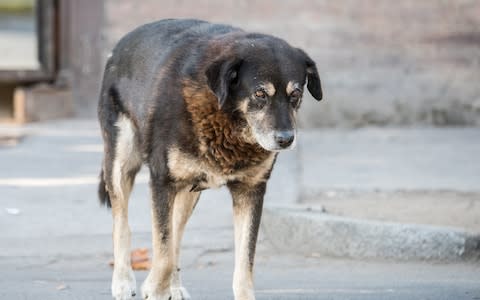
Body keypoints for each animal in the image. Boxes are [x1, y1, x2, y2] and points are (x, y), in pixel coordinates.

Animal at [97, 18, 322, 300]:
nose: (286, 139)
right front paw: (153, 289)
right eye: (260, 94)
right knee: (123, 222)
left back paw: (173, 286)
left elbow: (244, 263)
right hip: (121, 163)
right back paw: (123, 281)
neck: (225, 116)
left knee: (176, 236)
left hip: (188, 191)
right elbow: (163, 252)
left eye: (295, 94)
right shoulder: (162, 182)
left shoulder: (250, 191)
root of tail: (117, 48)